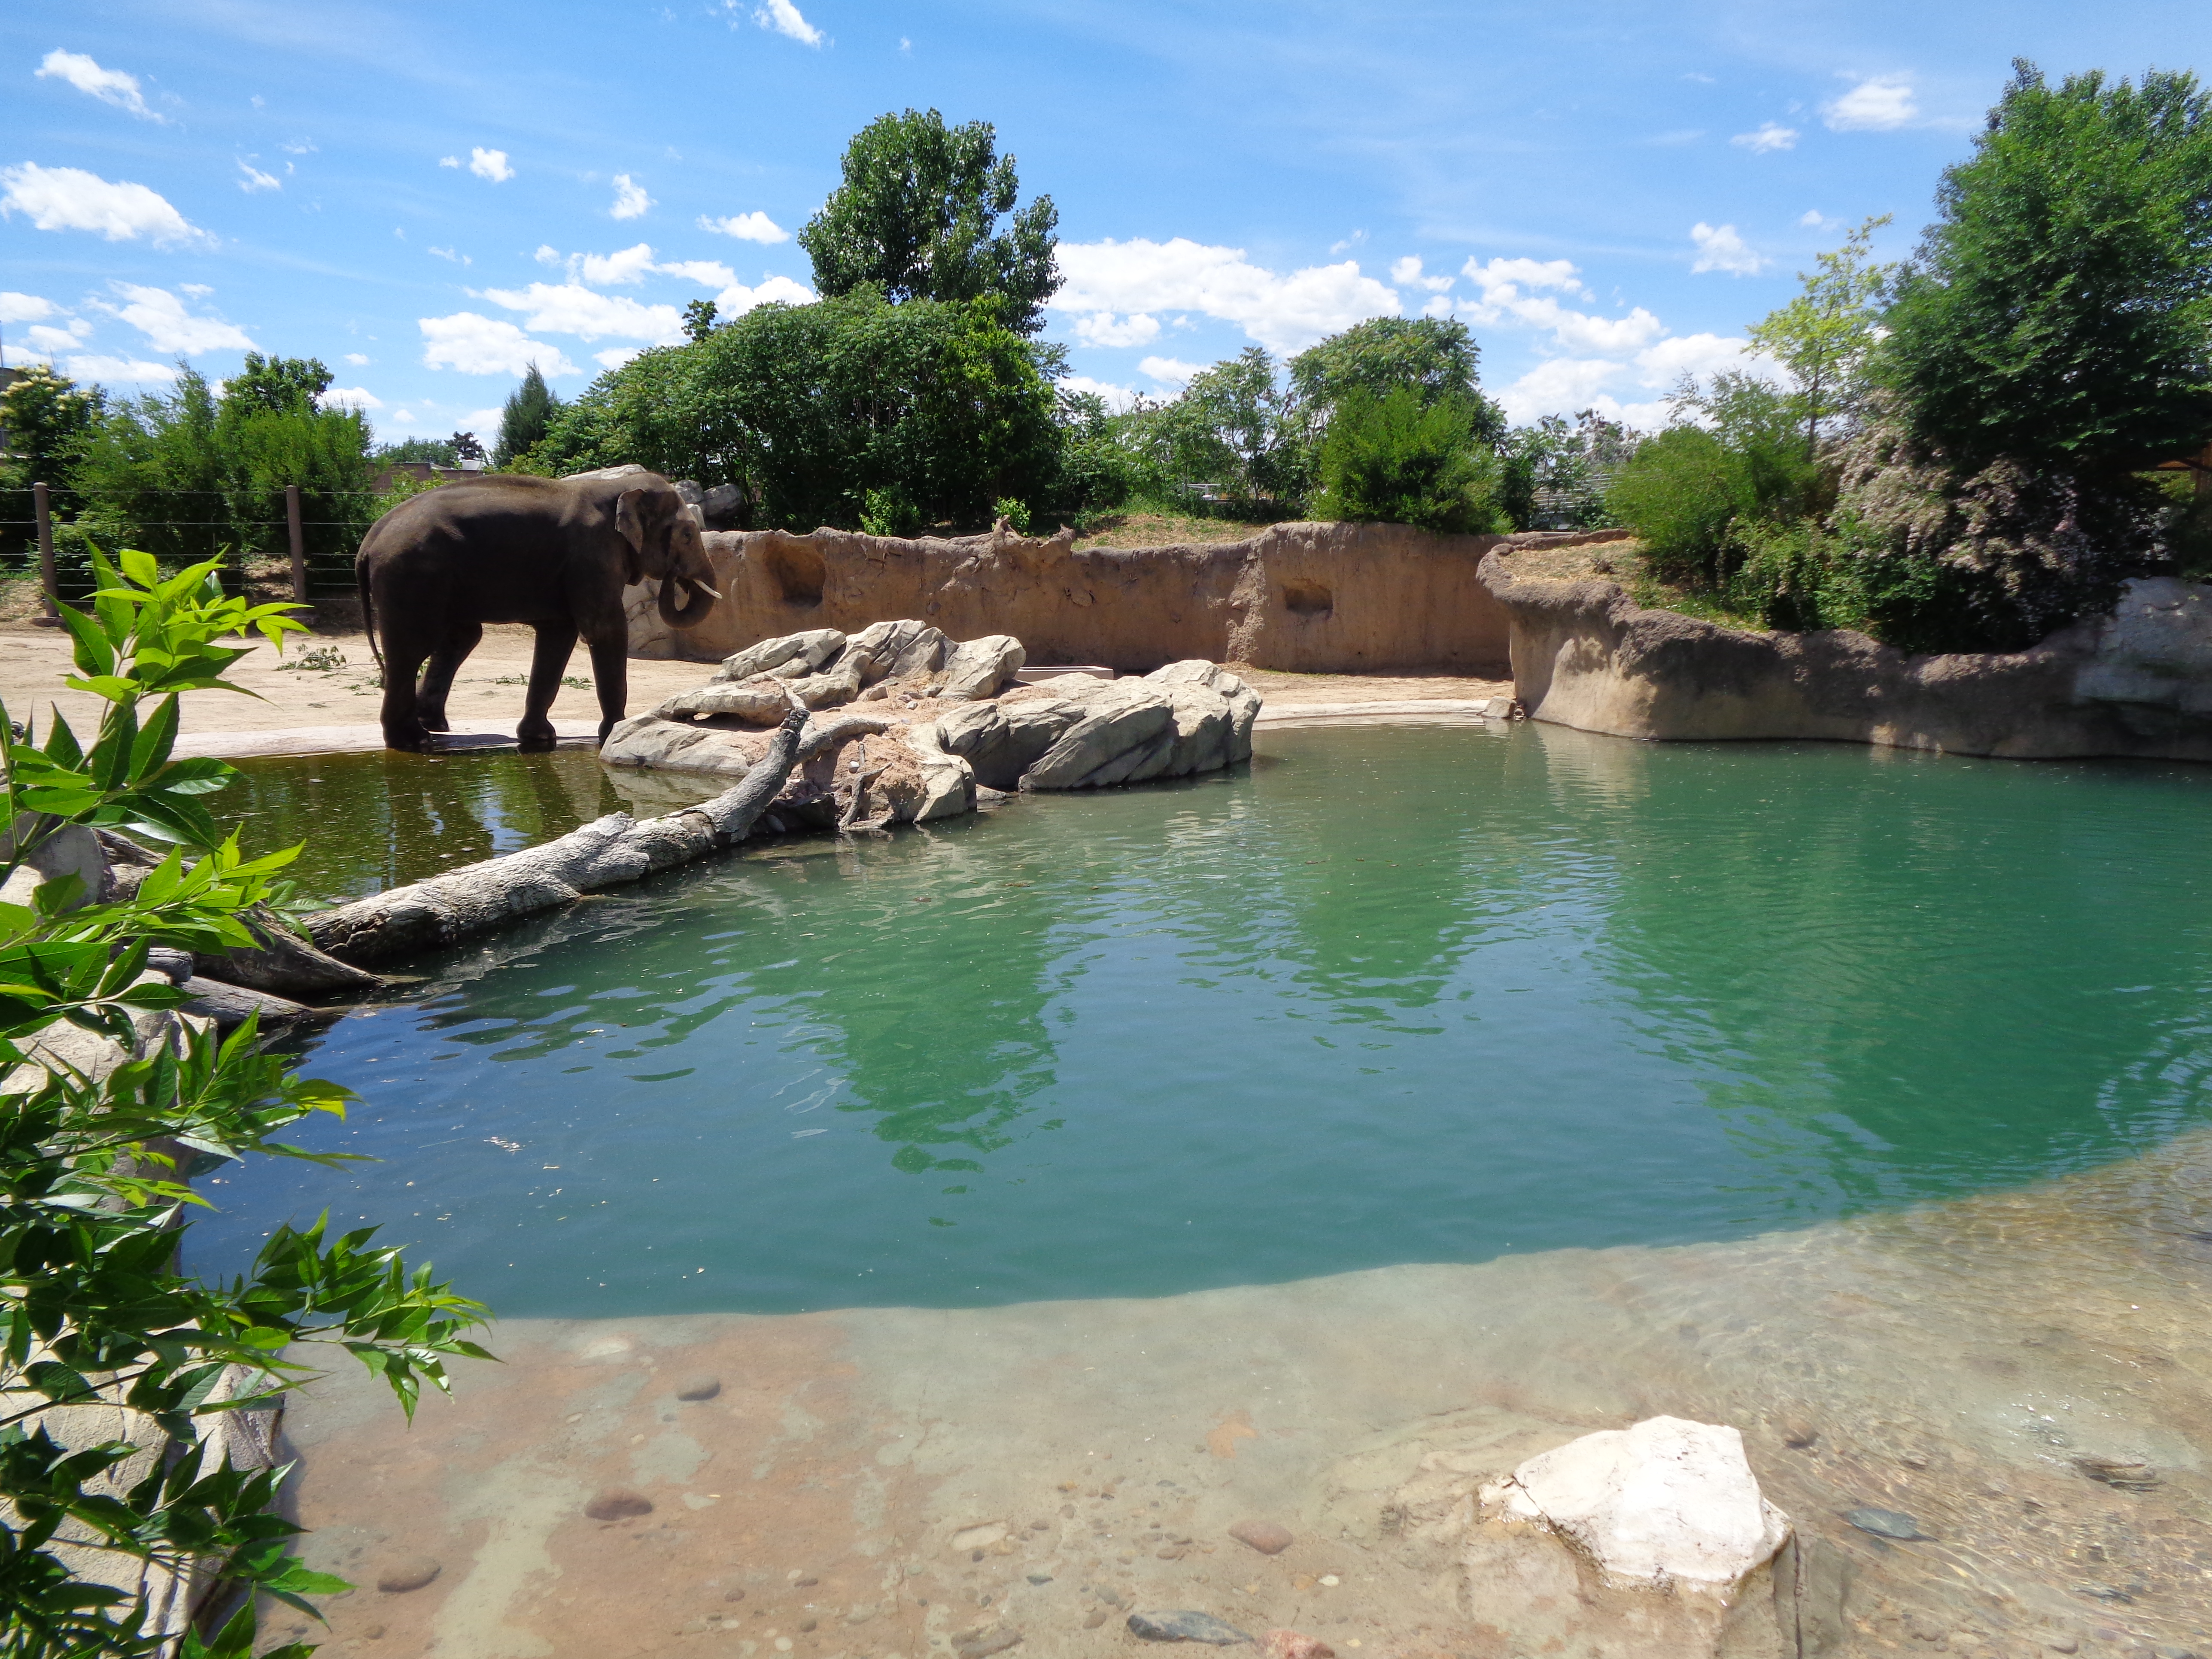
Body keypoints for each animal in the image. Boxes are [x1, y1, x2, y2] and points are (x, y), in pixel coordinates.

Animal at [354, 469, 717, 752]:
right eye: (687, 534)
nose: (674, 575)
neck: (620, 487)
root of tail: (369, 540)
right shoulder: (592, 555)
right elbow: (606, 629)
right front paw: (615, 732)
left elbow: (558, 636)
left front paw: (540, 739)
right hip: (413, 576)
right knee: (412, 648)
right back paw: (413, 740)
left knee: (459, 638)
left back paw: (434, 727)